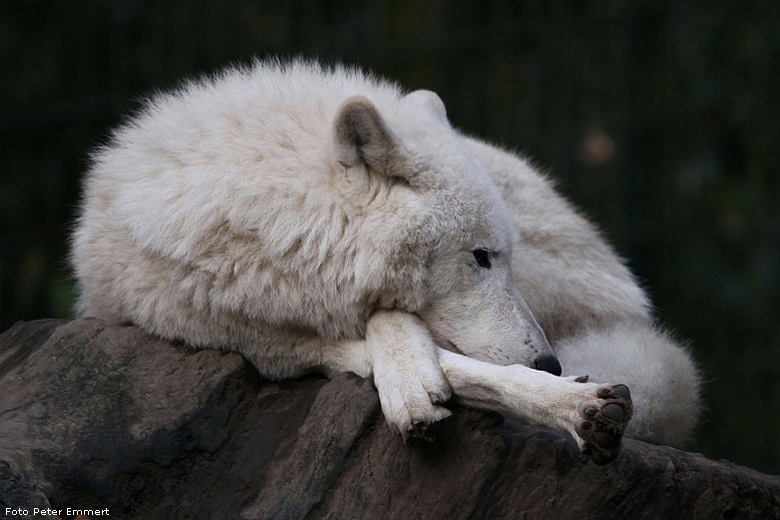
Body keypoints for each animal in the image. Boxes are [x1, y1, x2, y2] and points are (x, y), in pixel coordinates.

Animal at [71, 60, 700, 464]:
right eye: (479, 258)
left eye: (502, 259)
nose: (549, 361)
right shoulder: (268, 345)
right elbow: (448, 363)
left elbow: (419, 338)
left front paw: (570, 401)